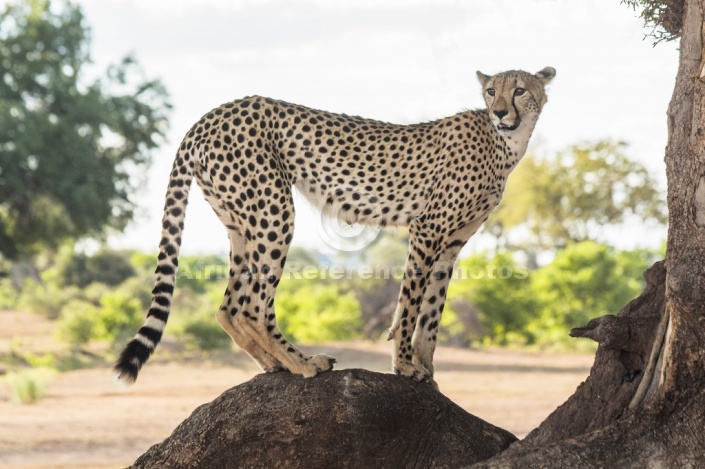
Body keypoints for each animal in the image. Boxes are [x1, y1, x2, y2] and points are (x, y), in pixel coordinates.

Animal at [114, 67, 556, 386]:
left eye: (520, 90)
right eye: (491, 92)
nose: (500, 112)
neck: (505, 144)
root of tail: (210, 115)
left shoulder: (452, 244)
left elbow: (432, 313)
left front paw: (428, 372)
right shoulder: (428, 229)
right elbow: (410, 305)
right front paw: (404, 366)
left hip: (241, 221)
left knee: (229, 307)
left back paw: (274, 364)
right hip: (274, 211)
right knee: (254, 306)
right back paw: (304, 363)